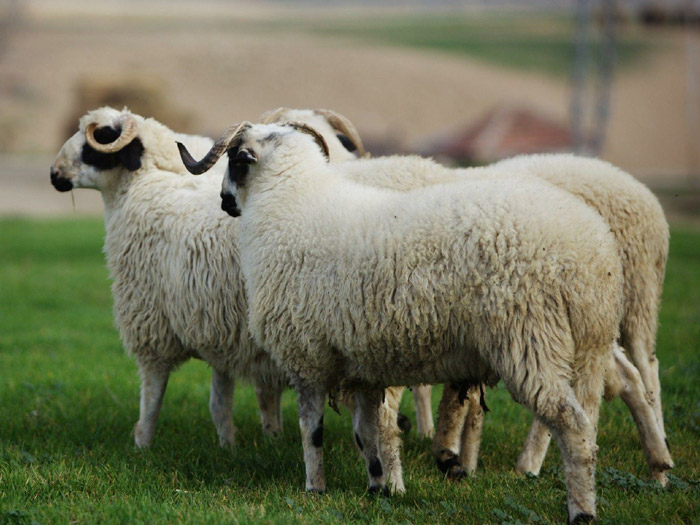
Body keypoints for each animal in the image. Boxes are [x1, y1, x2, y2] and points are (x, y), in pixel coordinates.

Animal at [178, 122, 628, 520]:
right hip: (589, 347)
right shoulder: (358, 363)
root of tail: (591, 251)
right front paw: (378, 487)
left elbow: (313, 431)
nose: (224, 202)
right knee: (589, 427)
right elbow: (366, 433)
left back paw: (581, 512)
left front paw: (315, 488)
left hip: (531, 339)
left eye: (235, 159)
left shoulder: (307, 357)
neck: (289, 203)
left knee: (572, 426)